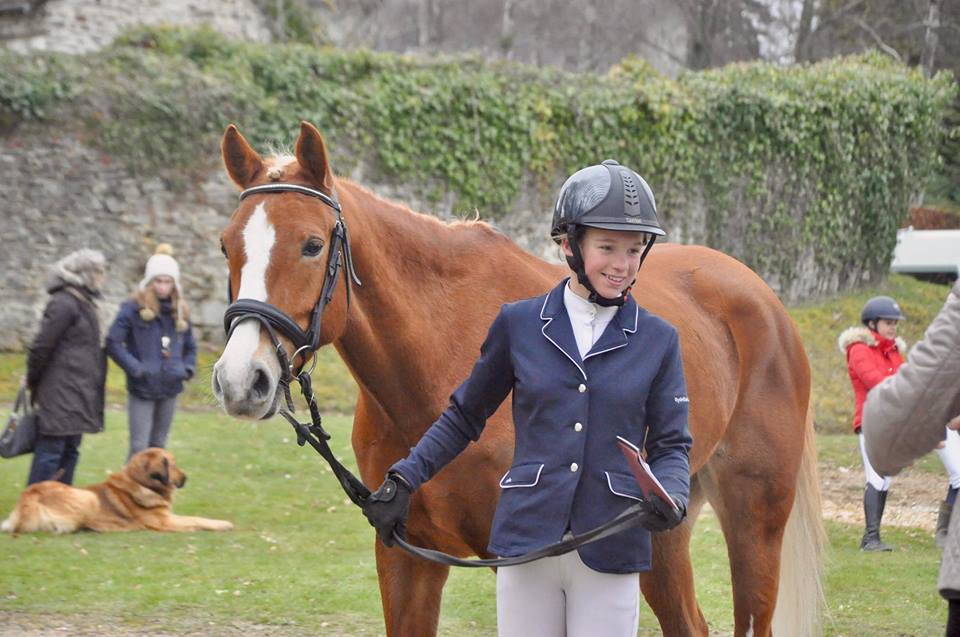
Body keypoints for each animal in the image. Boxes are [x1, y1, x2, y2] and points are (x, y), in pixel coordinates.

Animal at [1, 444, 234, 536]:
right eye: (173, 465)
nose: (186, 477)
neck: (141, 483)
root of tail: (31, 493)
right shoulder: (164, 520)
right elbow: (196, 519)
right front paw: (221, 524)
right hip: (88, 497)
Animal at [214, 123, 820, 636]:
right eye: (226, 244)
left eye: (312, 245)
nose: (242, 380)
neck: (434, 362)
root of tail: (763, 299)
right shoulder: (406, 556)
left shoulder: (517, 558)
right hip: (659, 529)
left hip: (753, 517)